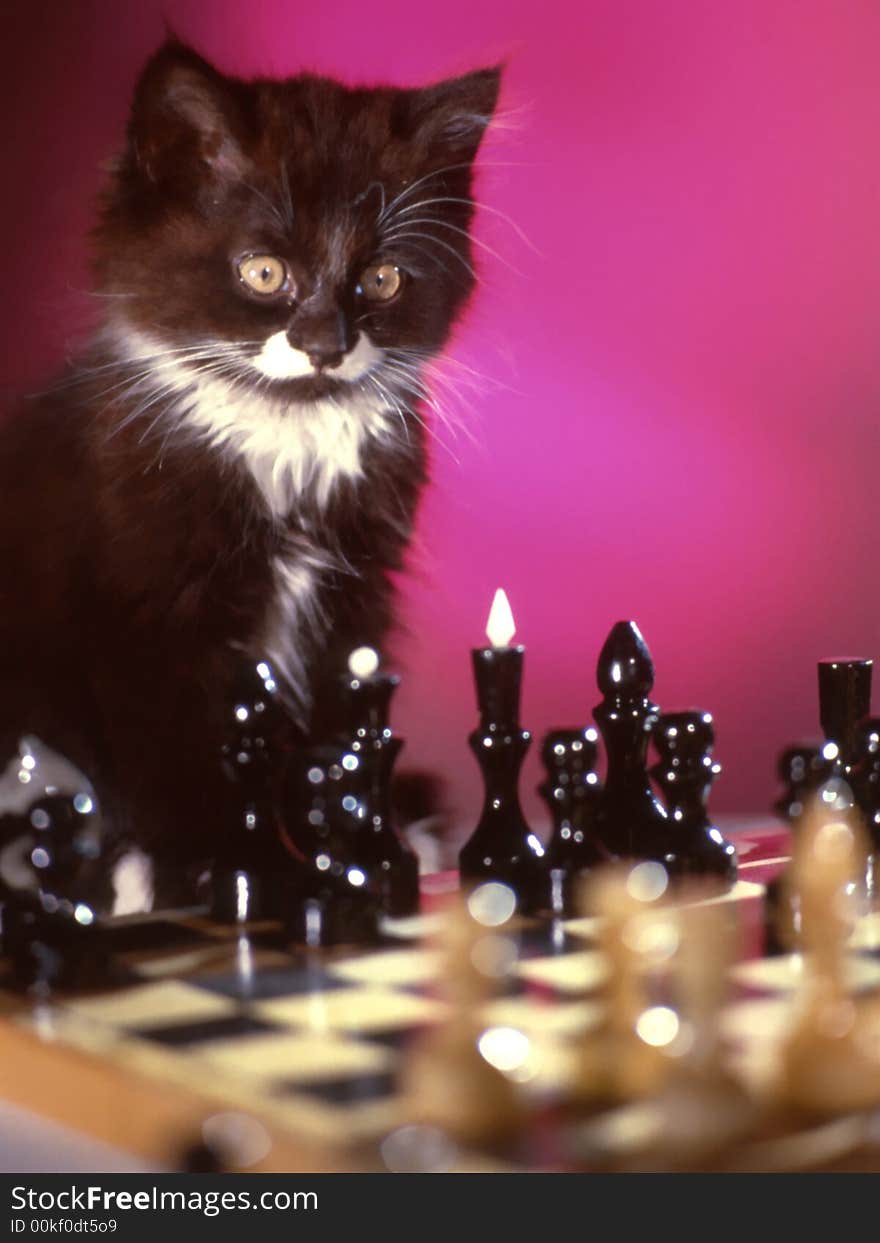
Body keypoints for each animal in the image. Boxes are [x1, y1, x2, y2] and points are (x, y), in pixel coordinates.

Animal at [0, 36, 499, 855]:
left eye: (382, 279)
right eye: (264, 273)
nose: (326, 344)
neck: (283, 444)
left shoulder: (352, 597)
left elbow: (336, 725)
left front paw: (349, 841)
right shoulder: (138, 617)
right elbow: (170, 752)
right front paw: (212, 860)